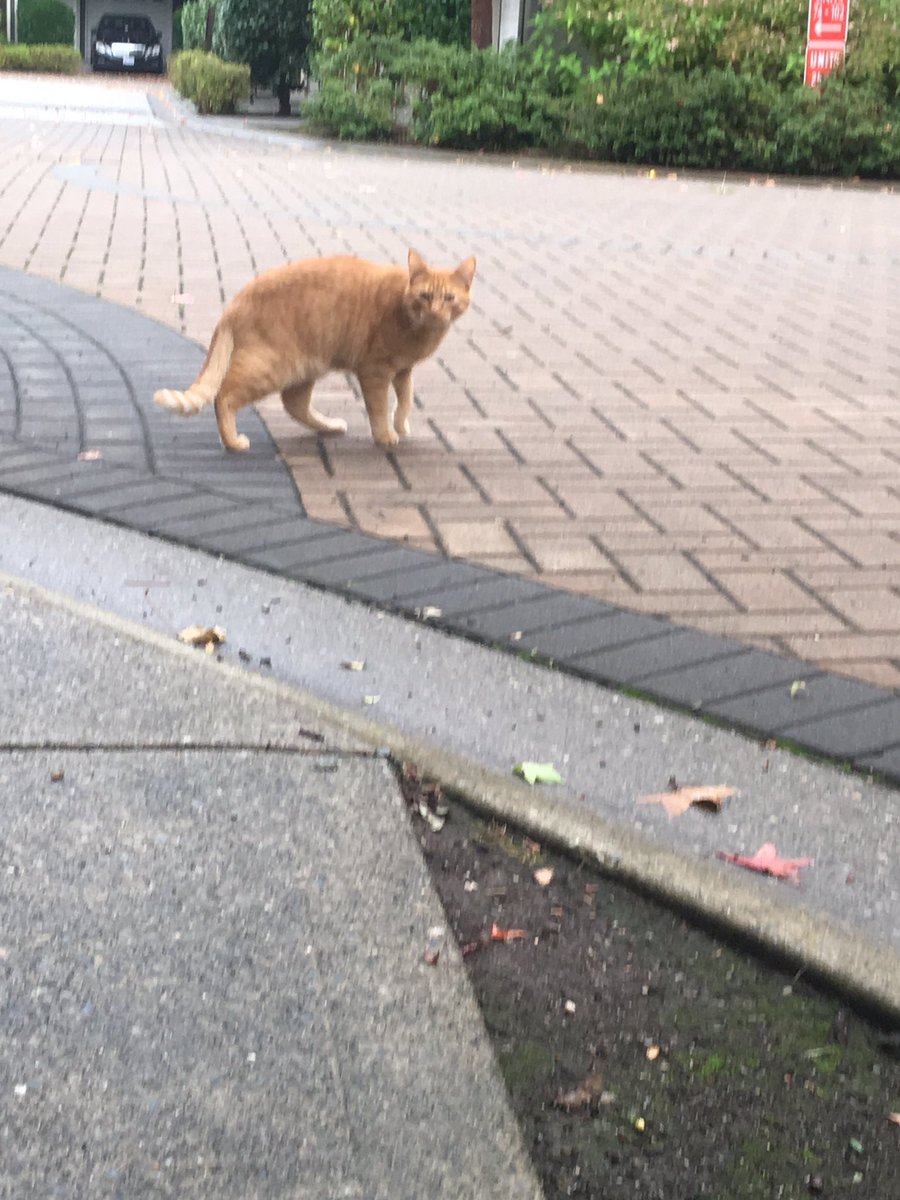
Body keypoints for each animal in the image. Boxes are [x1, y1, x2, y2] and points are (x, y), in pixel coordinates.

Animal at [154, 247, 480, 451]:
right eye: (425, 296)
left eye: (449, 298)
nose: (435, 313)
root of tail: (235, 301)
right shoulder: (375, 372)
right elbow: (379, 407)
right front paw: (384, 435)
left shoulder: (403, 371)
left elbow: (406, 400)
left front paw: (401, 425)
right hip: (270, 367)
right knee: (224, 395)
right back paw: (233, 442)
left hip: (306, 366)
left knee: (294, 404)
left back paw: (330, 426)